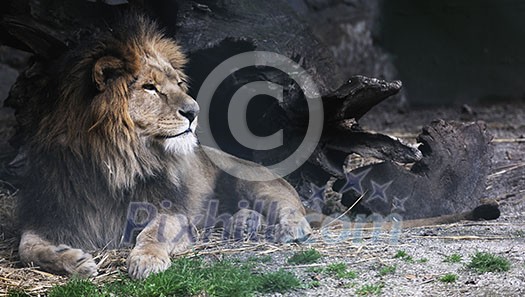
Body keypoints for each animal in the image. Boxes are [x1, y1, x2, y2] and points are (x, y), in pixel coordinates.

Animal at [17, 13, 312, 278]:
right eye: (149, 87)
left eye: (179, 83)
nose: (194, 111)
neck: (113, 164)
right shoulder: (53, 214)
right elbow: (27, 248)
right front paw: (75, 262)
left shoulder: (170, 210)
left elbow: (153, 233)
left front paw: (146, 260)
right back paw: (245, 223)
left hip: (251, 179)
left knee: (291, 205)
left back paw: (290, 229)